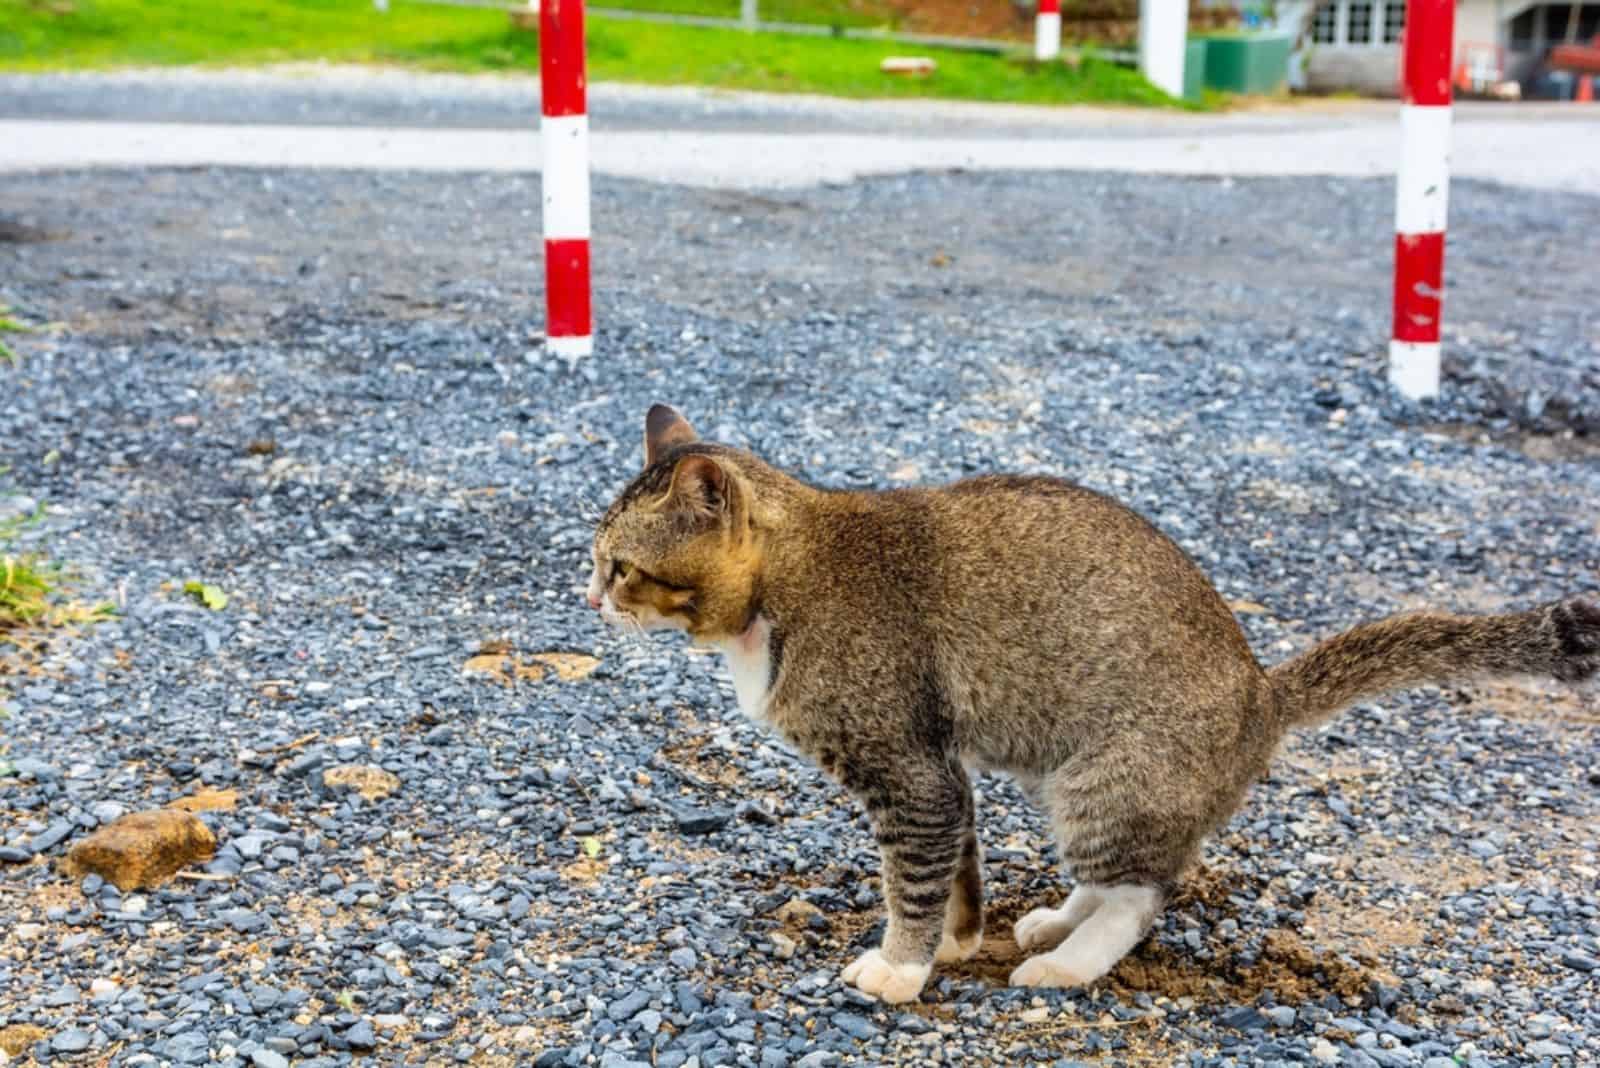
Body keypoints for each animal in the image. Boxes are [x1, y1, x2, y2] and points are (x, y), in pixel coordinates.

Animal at [588, 404, 1600, 1004]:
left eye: (623, 567)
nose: (590, 595)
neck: (790, 580)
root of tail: (1259, 692)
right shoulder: (944, 768)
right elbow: (957, 871)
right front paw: (957, 942)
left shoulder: (908, 773)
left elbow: (911, 880)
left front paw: (902, 967)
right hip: (1064, 773)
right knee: (1119, 876)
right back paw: (1054, 920)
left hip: (1106, 779)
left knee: (1142, 894)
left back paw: (1068, 962)